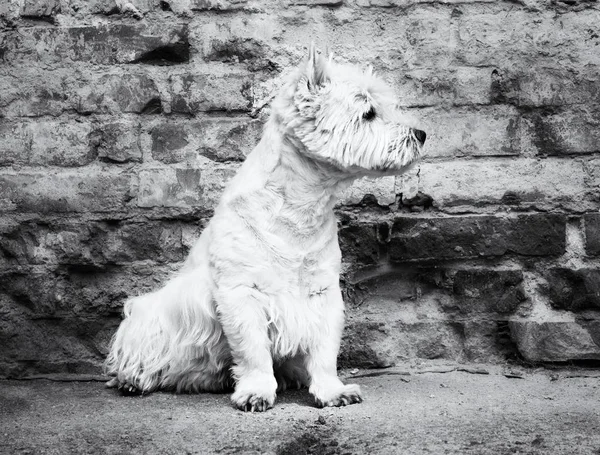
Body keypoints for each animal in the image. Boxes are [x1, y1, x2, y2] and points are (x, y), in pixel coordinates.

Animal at [106, 46, 426, 414]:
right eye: (368, 113)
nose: (421, 134)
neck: (299, 210)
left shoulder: (323, 293)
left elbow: (324, 351)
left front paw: (333, 391)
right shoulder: (241, 292)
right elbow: (253, 350)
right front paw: (256, 392)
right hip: (149, 319)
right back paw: (131, 380)